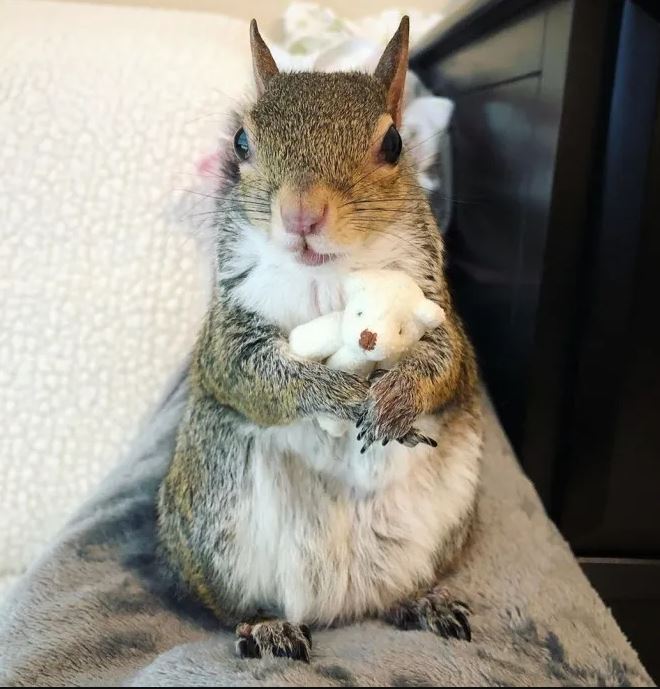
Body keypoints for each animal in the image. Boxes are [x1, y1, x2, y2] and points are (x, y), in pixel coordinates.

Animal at [157, 16, 482, 660]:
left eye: (393, 144)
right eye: (241, 143)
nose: (302, 215)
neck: (326, 278)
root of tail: (342, 602)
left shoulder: (437, 306)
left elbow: (445, 362)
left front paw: (399, 394)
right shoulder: (227, 333)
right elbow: (254, 375)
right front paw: (340, 395)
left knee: (399, 591)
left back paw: (422, 601)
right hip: (212, 505)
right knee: (231, 603)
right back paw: (265, 625)